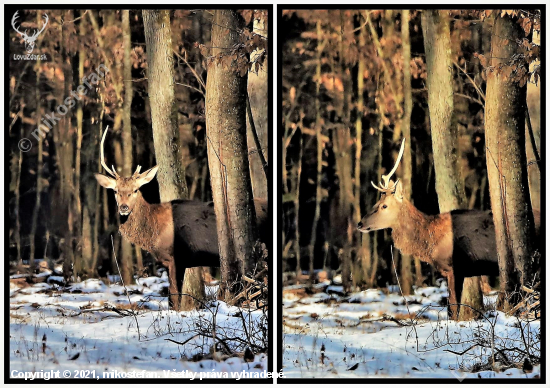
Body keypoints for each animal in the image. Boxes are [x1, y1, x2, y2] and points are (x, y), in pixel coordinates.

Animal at [96, 127, 268, 310]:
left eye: (135, 190)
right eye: (115, 191)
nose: (124, 207)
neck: (154, 233)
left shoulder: (176, 257)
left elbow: (174, 295)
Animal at [358, 138, 544, 320]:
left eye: (384, 205)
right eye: (377, 203)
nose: (360, 224)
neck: (430, 242)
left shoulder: (454, 267)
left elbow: (453, 309)